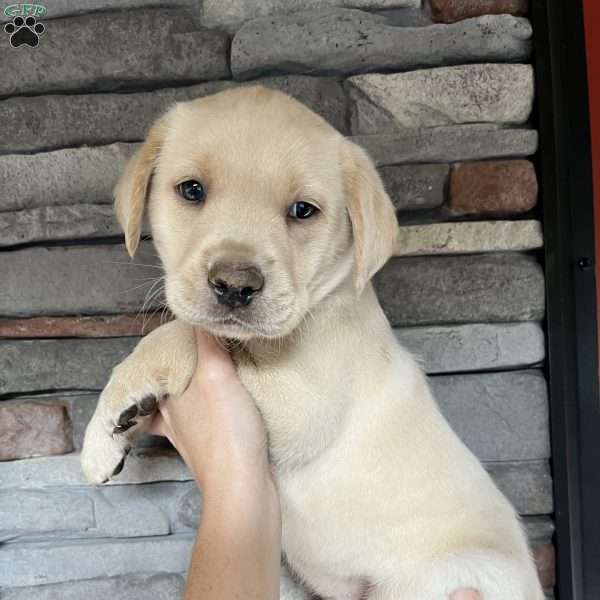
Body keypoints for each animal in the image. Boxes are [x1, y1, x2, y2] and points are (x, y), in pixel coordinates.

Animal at [82, 85, 548, 600]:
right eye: (192, 190)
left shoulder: (306, 406)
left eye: (303, 210)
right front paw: (111, 431)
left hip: (448, 578)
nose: (235, 286)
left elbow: (184, 331)